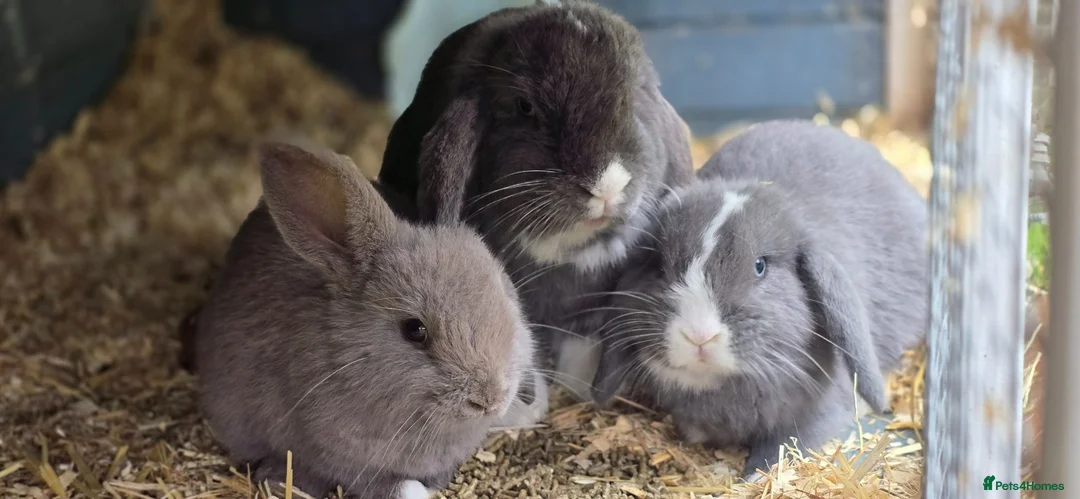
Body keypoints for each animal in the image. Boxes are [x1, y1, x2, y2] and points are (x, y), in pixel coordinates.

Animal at [590, 120, 928, 477]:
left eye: (760, 266)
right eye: (660, 266)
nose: (698, 335)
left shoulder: (815, 414)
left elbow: (784, 445)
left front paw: (753, 473)